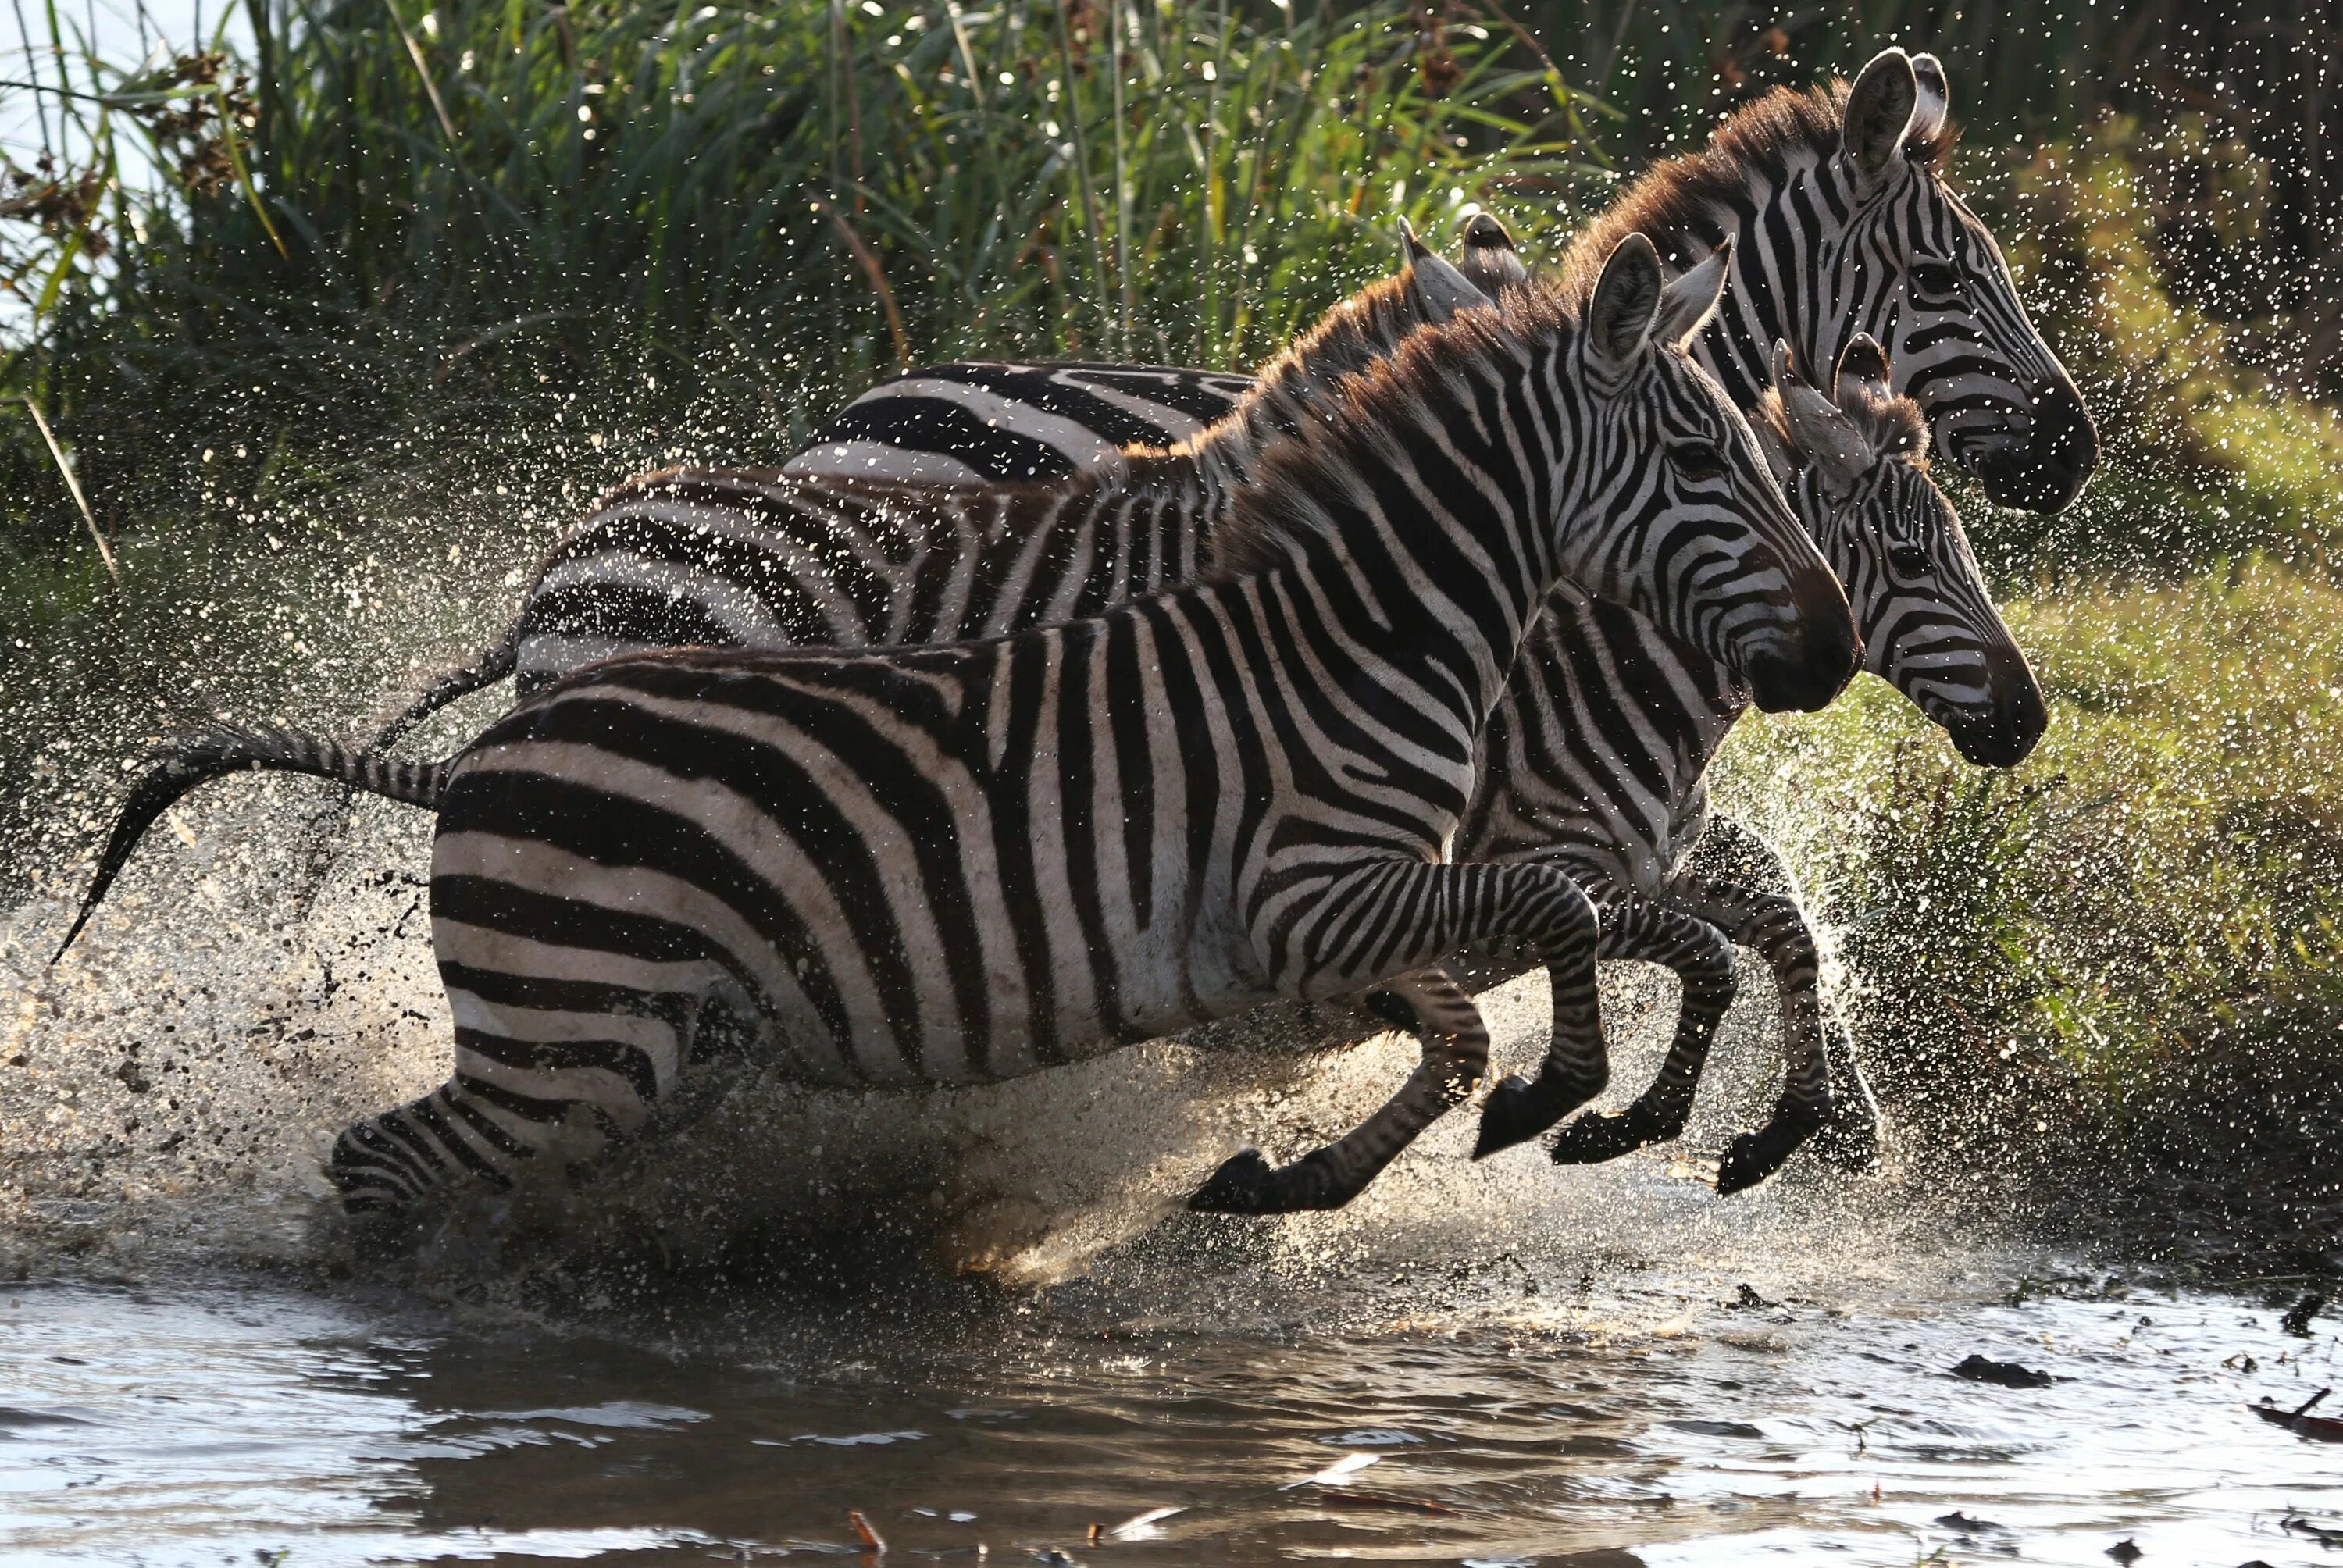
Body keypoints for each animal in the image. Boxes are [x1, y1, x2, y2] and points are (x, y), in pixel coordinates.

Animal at [59, 235, 1865, 1209]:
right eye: (1710, 452)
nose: (1833, 651)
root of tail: (564, 564)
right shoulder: (1357, 850)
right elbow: (1587, 930)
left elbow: (1687, 925)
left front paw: (1771, 1117)